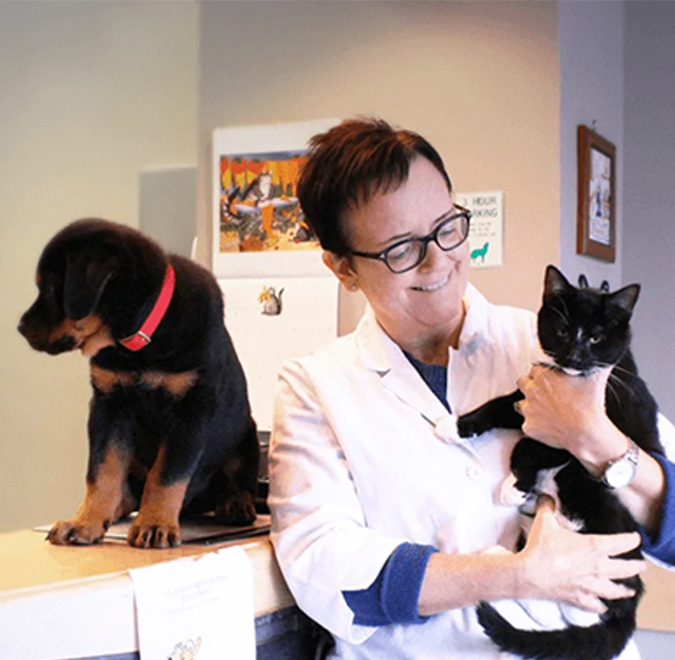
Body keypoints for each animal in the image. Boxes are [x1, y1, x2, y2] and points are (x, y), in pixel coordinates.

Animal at [17, 219, 262, 548]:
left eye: (51, 289)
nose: (20, 327)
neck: (139, 343)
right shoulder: (108, 405)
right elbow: (101, 471)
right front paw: (85, 522)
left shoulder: (192, 409)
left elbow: (166, 475)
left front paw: (155, 525)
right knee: (129, 490)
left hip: (245, 435)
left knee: (237, 479)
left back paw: (235, 504)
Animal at [460, 266, 664, 660]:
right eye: (564, 330)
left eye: (596, 338)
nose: (574, 355)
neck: (570, 381)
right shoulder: (531, 397)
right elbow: (506, 404)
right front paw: (460, 423)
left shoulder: (589, 427)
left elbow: (530, 444)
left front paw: (514, 485)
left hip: (597, 505)